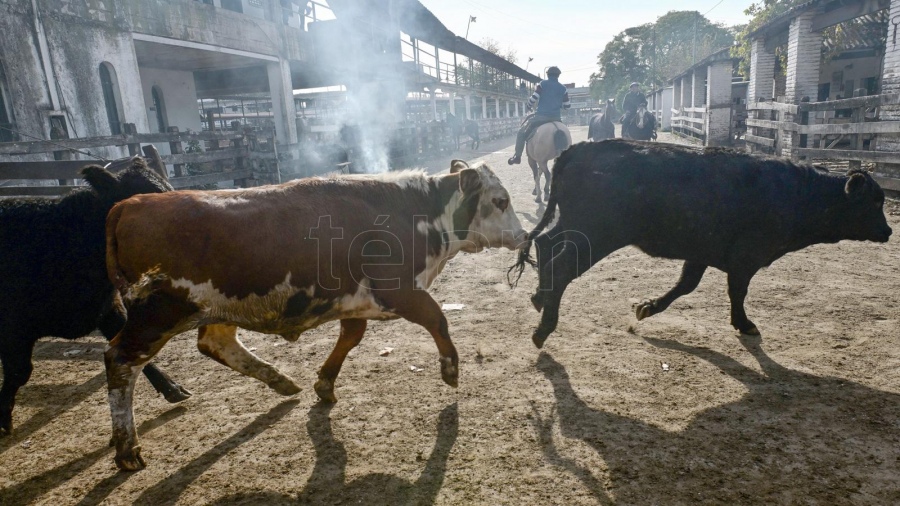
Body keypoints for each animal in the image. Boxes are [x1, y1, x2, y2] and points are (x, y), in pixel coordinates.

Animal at [103, 159, 528, 470]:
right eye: (500, 201)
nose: (524, 236)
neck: (414, 212)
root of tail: (128, 205)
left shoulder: (354, 300)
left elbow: (351, 336)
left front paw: (324, 383)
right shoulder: (399, 291)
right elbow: (437, 318)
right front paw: (450, 369)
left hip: (214, 306)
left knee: (216, 343)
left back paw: (280, 380)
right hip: (158, 314)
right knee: (120, 360)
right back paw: (127, 448)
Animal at [512, 140, 892, 350]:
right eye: (874, 202)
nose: (888, 231)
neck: (798, 193)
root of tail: (580, 149)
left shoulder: (701, 253)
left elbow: (686, 285)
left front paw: (647, 307)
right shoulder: (745, 258)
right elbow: (737, 292)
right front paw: (745, 324)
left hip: (574, 225)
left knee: (545, 244)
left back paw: (538, 298)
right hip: (597, 234)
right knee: (561, 266)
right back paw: (542, 330)